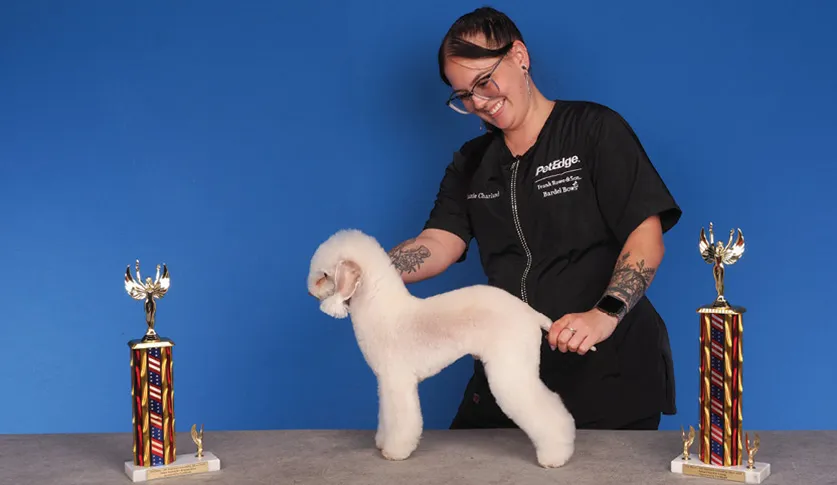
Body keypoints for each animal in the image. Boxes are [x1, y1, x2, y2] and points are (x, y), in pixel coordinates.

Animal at [306, 229, 576, 466]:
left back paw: (555, 456)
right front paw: (382, 442)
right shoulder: (385, 382)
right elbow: (386, 416)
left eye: (324, 275)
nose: (310, 291)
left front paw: (394, 451)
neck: (380, 308)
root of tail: (531, 314)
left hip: (510, 367)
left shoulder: (397, 381)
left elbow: (401, 420)